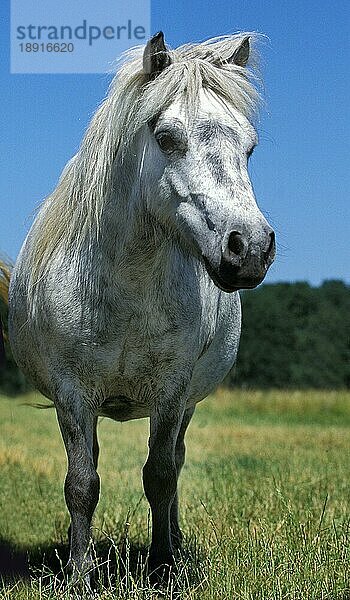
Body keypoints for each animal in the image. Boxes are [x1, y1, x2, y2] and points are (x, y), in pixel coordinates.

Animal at [8, 32, 274, 580]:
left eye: (249, 146)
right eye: (167, 137)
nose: (251, 249)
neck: (127, 286)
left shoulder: (171, 392)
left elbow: (161, 476)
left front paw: (163, 565)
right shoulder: (73, 394)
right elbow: (82, 483)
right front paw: (80, 573)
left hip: (187, 403)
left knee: (176, 461)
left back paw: (176, 541)